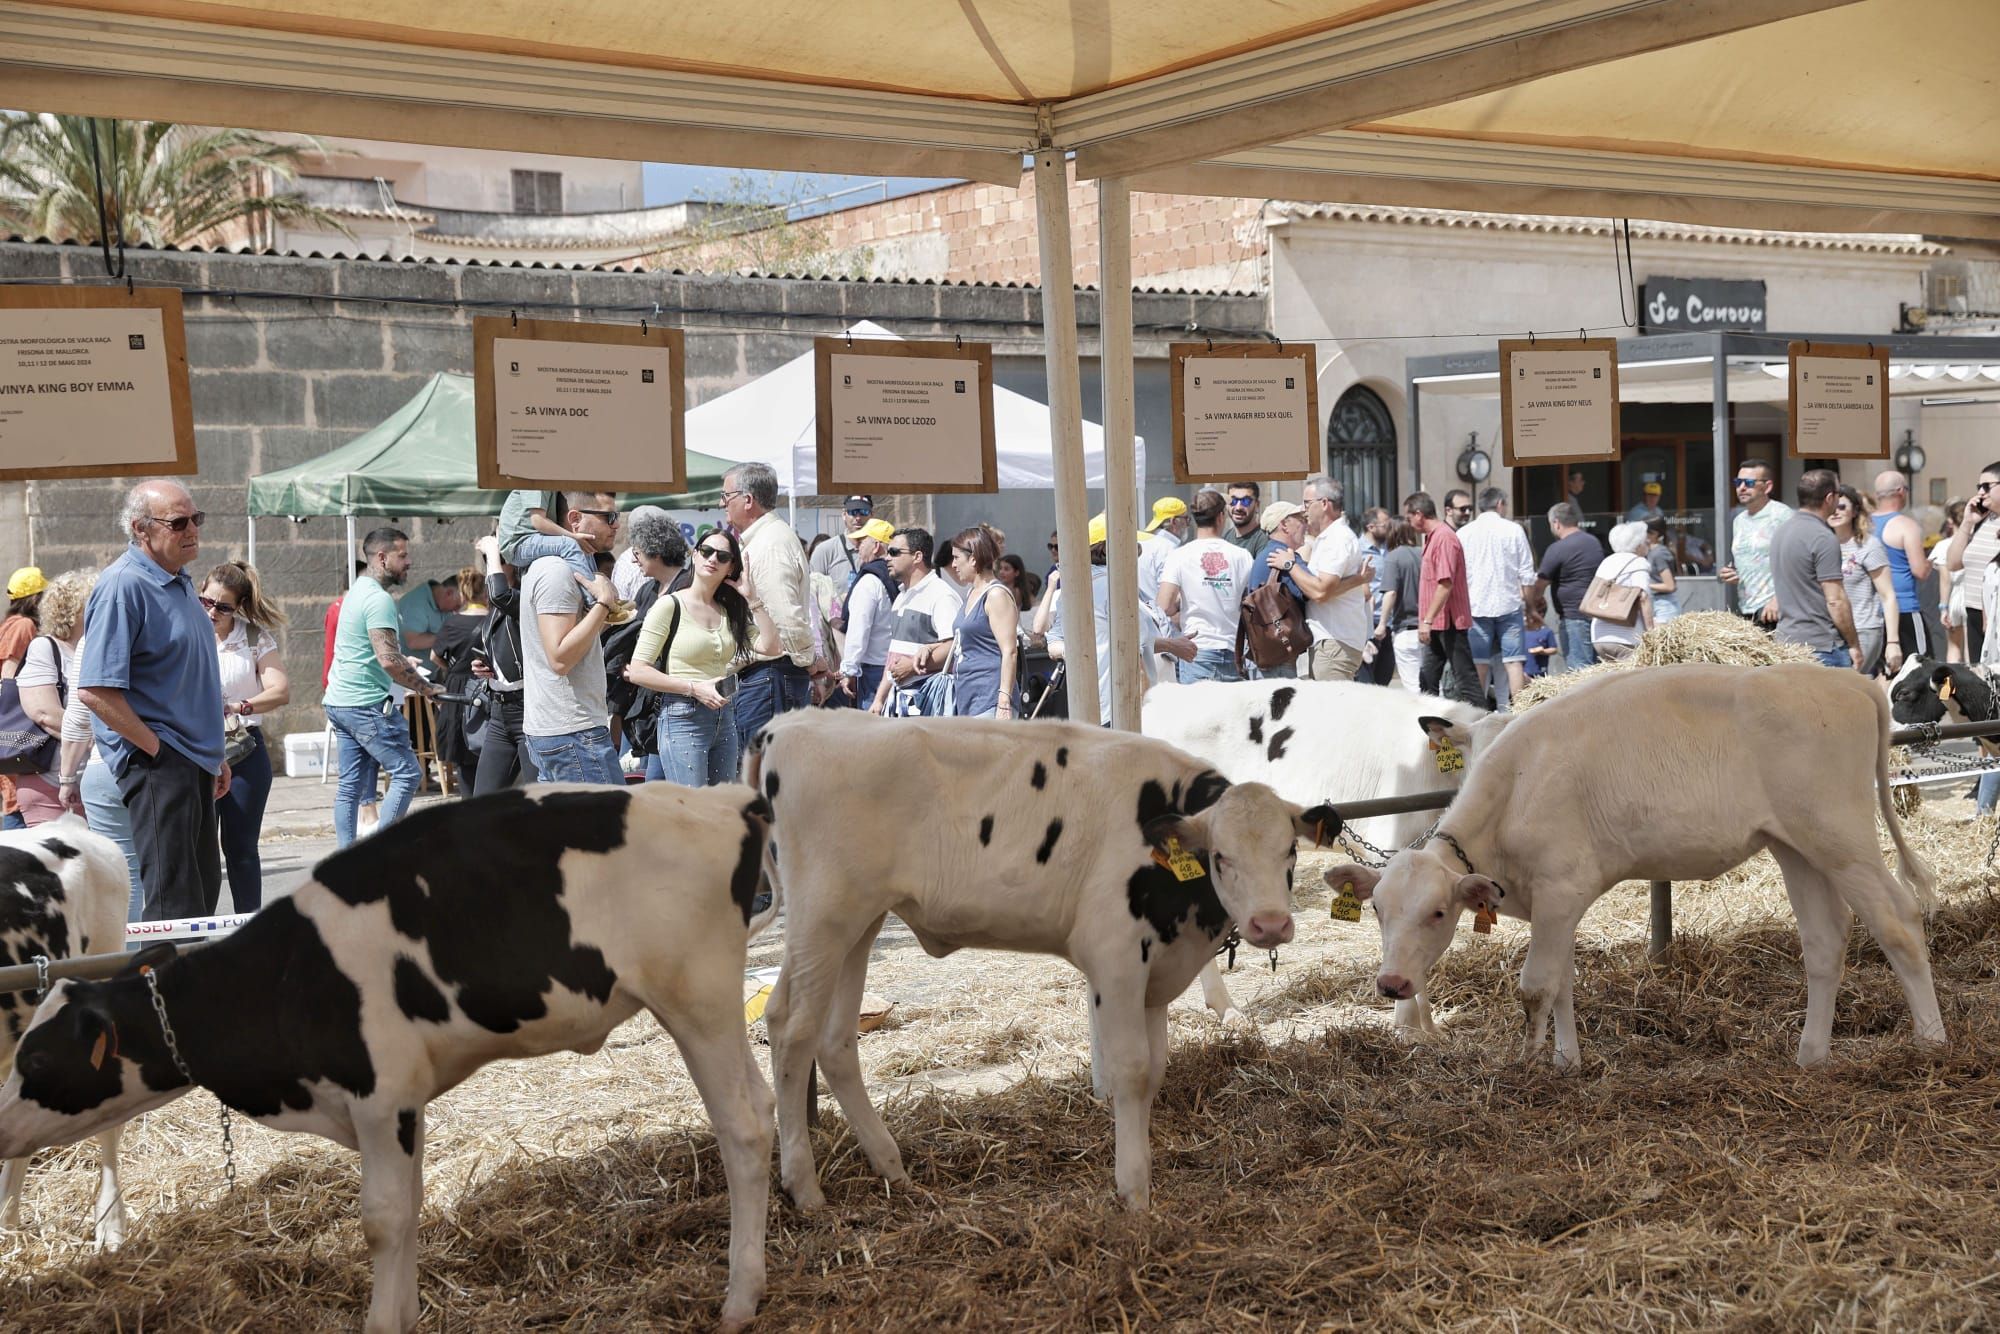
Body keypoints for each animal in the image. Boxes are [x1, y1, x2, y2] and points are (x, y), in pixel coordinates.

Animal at [744, 716, 1336, 1216]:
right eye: (1220, 857)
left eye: (1290, 852)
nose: (1269, 924)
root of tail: (788, 723)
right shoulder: (1116, 959)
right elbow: (1131, 1070)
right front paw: (1134, 1191)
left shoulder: (1155, 976)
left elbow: (1156, 1070)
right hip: (821, 917)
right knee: (791, 1028)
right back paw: (805, 1187)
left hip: (858, 925)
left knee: (835, 1042)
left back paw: (891, 1168)